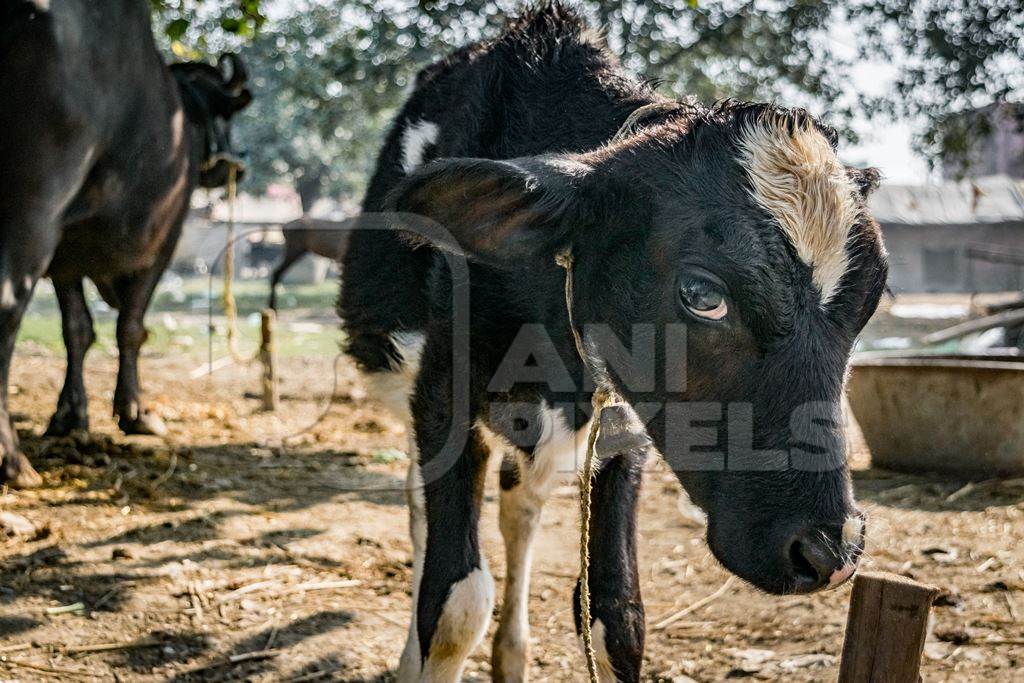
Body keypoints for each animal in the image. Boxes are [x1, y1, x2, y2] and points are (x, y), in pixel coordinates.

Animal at [1, 0, 252, 485]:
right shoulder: (160, 245)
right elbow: (131, 327)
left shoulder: (66, 258)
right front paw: (136, 412)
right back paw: (12, 461)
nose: (232, 166)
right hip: (30, 217)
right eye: (225, 116)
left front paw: (70, 416)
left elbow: (77, 329)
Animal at [342, 6, 888, 683]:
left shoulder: (624, 425)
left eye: (872, 299)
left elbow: (619, 618)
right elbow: (453, 604)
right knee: (425, 521)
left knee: (521, 506)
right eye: (702, 292)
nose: (828, 551)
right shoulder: (443, 392)